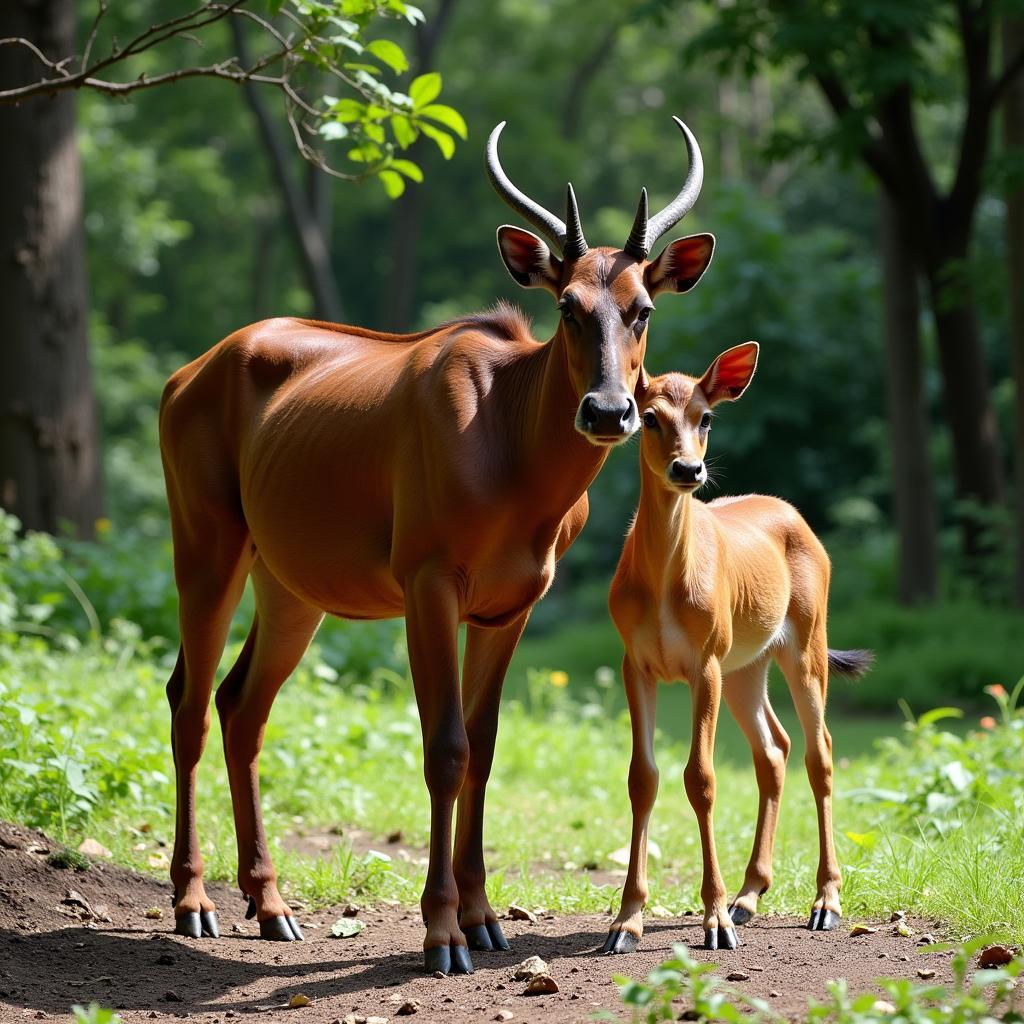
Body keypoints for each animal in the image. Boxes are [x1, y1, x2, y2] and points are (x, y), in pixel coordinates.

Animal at [598, 344, 872, 950]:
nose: (688, 469)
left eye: (706, 417)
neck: (664, 588)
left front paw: (714, 920)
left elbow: (700, 778)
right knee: (774, 749)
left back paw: (825, 902)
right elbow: (640, 778)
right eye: (648, 417)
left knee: (820, 751)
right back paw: (751, 894)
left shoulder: (704, 661)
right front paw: (626, 921)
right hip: (747, 663)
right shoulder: (635, 662)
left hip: (805, 641)